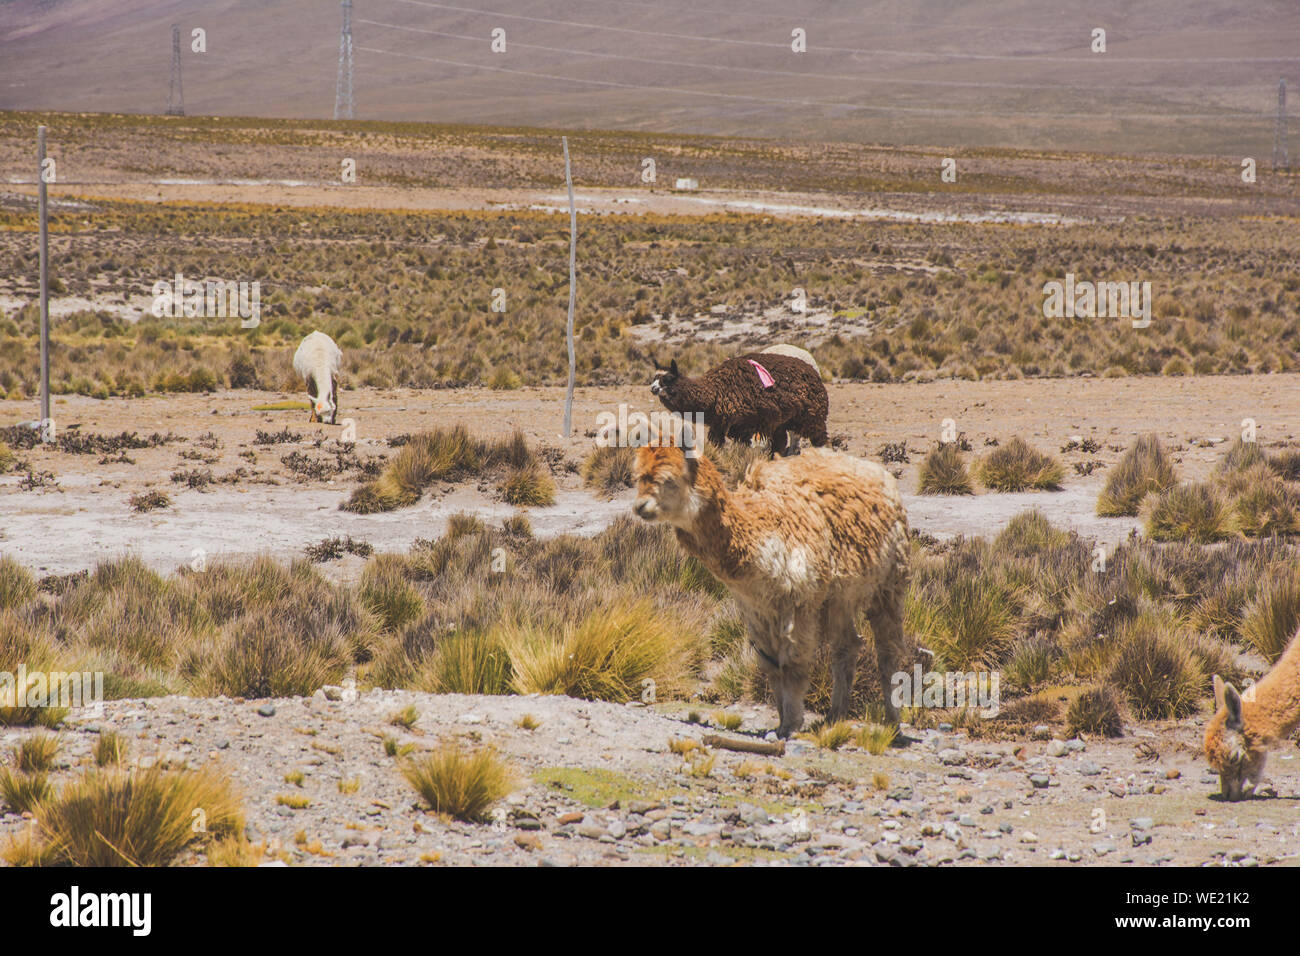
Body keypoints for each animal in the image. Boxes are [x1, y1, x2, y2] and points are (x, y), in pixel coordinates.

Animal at [633, 427, 910, 737]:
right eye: (638, 477)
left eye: (668, 480)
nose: (640, 507)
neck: (761, 532)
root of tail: (878, 473)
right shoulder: (756, 607)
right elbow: (771, 666)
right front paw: (780, 723)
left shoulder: (798, 600)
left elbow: (793, 665)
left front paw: (791, 725)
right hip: (839, 595)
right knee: (847, 646)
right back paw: (834, 717)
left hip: (889, 582)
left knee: (887, 651)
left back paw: (892, 723)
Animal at [649, 352, 828, 456]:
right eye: (654, 378)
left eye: (667, 379)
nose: (653, 388)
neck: (715, 392)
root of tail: (814, 372)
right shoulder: (720, 424)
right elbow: (717, 445)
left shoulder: (744, 424)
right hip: (783, 422)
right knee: (780, 442)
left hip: (812, 415)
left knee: (819, 439)